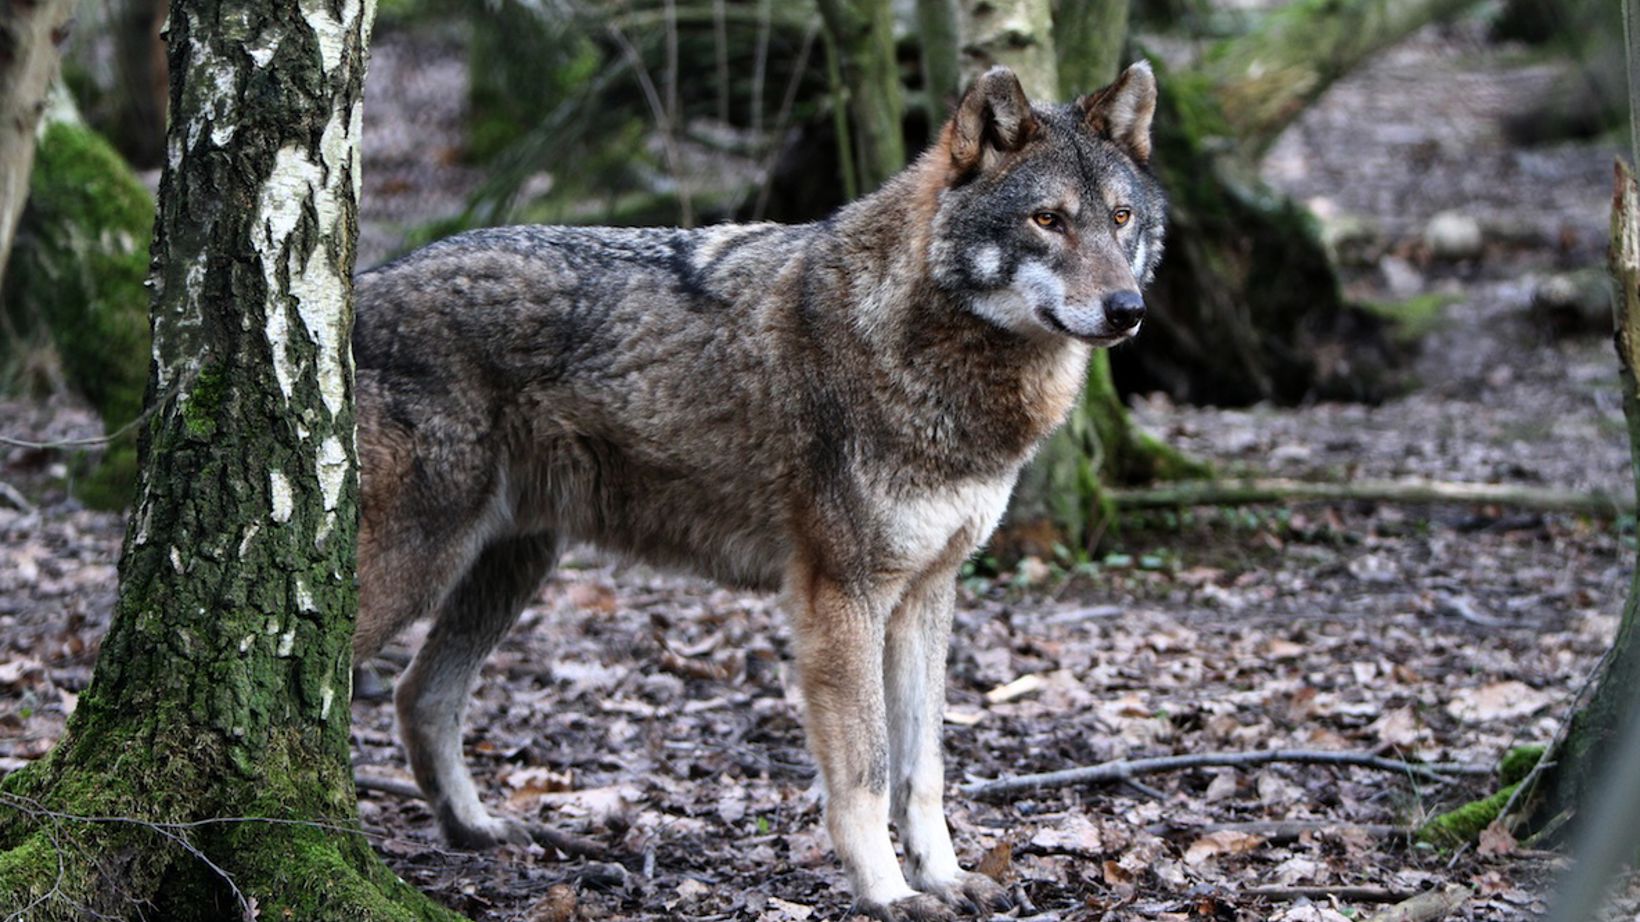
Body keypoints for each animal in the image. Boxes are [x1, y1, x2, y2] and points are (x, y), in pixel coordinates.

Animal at [351, 62, 1165, 920]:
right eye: (1048, 220)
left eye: (1119, 219)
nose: (1128, 311)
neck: (923, 346)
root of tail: (361, 285)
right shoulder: (842, 597)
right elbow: (867, 774)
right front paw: (887, 893)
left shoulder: (927, 592)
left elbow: (924, 769)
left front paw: (943, 877)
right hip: (418, 569)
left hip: (508, 568)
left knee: (419, 696)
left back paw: (476, 831)